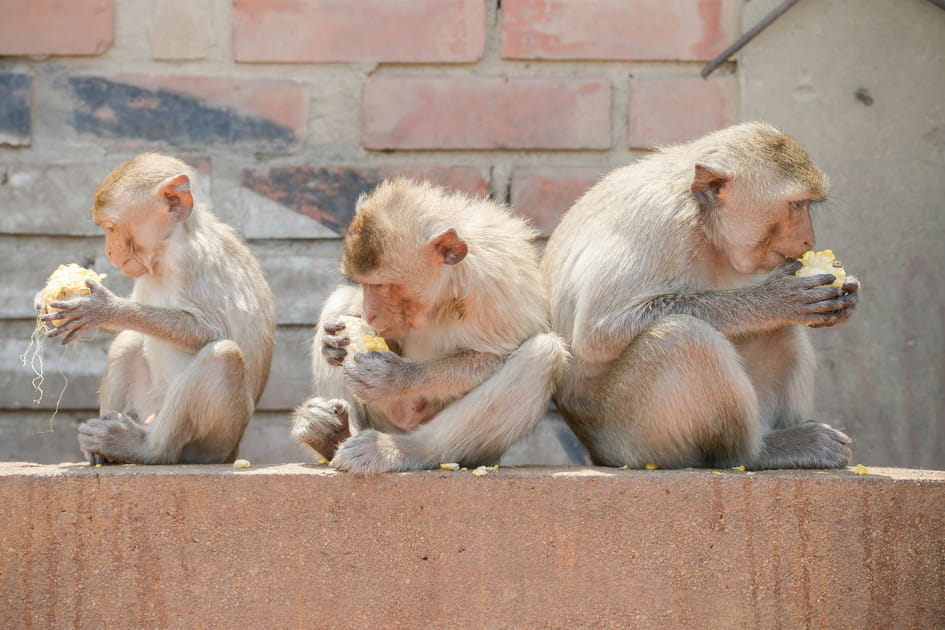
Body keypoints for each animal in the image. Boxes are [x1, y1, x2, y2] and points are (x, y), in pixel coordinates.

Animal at [41, 154, 276, 464]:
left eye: (111, 228)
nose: (108, 251)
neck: (168, 245)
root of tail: (233, 451)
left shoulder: (191, 258)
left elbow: (209, 330)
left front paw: (103, 308)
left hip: (217, 442)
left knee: (223, 355)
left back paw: (142, 448)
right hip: (151, 405)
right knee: (129, 341)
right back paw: (103, 455)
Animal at [292, 178, 564, 474]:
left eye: (381, 285)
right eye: (363, 284)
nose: (370, 314)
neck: (446, 287)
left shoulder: (493, 284)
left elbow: (496, 355)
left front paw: (395, 377)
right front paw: (331, 344)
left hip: (477, 450)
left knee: (543, 353)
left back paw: (402, 449)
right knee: (339, 300)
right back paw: (331, 435)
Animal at [544, 122, 860, 470]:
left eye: (807, 204)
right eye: (796, 204)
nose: (809, 240)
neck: (701, 218)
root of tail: (596, 453)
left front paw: (848, 291)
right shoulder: (661, 225)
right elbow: (599, 331)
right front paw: (774, 302)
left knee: (780, 331)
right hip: (632, 437)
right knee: (683, 336)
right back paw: (758, 453)